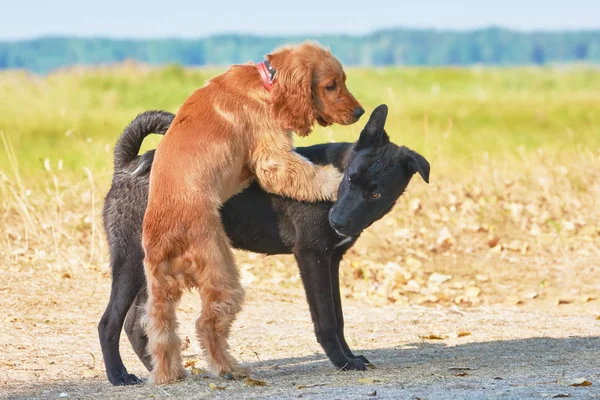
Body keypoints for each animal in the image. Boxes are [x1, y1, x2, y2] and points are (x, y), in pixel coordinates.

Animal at [99, 105, 426, 384]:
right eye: (349, 179)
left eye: (375, 194)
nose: (338, 220)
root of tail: (126, 166)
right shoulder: (312, 257)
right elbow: (327, 320)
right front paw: (342, 362)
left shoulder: (331, 260)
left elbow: (339, 317)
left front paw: (349, 356)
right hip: (132, 259)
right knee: (109, 323)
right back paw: (119, 376)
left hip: (151, 267)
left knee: (135, 324)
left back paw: (160, 371)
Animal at [142, 41, 364, 384]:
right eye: (331, 85)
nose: (360, 112)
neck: (267, 82)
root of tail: (165, 237)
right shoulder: (272, 157)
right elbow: (304, 174)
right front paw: (336, 181)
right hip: (223, 274)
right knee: (207, 324)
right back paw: (229, 368)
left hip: (159, 289)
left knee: (161, 329)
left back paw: (170, 374)